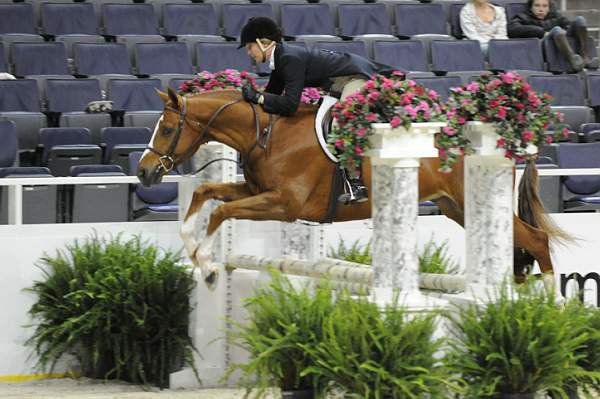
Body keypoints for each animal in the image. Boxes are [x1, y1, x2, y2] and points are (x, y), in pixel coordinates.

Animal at [138, 88, 564, 290]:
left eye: (168, 129)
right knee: (518, 244)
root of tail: (506, 141)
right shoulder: (257, 192)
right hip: (456, 206)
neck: (266, 134)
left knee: (537, 239)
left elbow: (222, 211)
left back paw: (546, 304)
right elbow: (205, 192)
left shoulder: (284, 205)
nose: (144, 173)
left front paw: (209, 267)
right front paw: (193, 251)